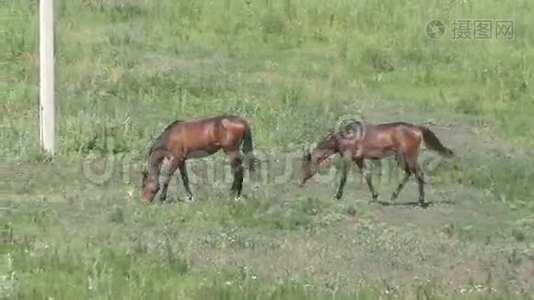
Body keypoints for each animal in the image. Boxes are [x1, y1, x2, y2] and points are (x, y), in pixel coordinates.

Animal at [300, 119, 454, 206]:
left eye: (304, 165)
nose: (300, 182)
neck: (344, 138)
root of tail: (418, 128)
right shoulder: (359, 159)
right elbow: (367, 175)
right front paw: (374, 197)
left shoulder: (348, 158)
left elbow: (343, 177)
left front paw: (337, 196)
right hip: (401, 158)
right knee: (409, 173)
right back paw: (393, 197)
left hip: (409, 156)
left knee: (419, 174)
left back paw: (420, 202)